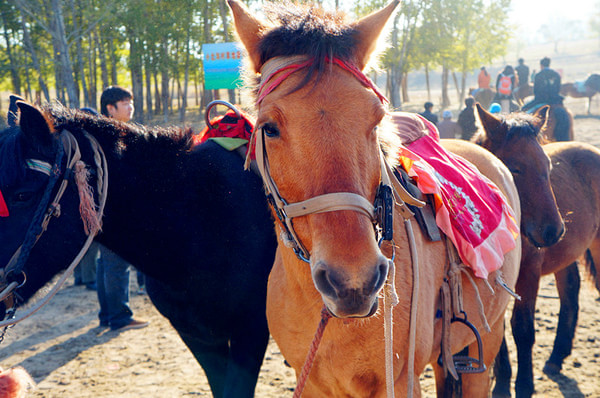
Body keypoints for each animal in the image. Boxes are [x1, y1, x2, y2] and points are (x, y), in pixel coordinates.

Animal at [230, 1, 520, 396]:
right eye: (269, 128)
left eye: (376, 120)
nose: (353, 282)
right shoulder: (313, 383)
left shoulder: (399, 382)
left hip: (485, 347)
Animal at [490, 141, 600, 398]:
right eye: (514, 168)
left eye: (548, 167)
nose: (553, 230)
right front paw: (502, 385)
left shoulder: (528, 274)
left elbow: (522, 329)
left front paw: (524, 385)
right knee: (570, 292)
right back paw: (557, 356)